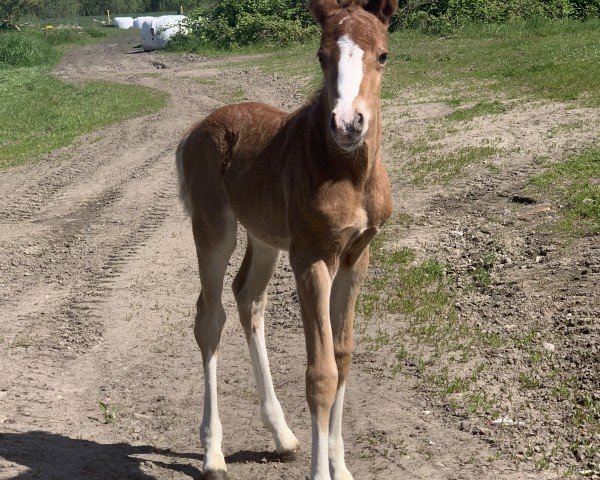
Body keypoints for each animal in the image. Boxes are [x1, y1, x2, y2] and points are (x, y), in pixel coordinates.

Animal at [176, 1, 396, 478]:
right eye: (321, 55)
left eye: (383, 55)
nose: (348, 124)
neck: (348, 173)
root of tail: (196, 129)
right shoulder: (311, 258)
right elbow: (321, 374)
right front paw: (322, 471)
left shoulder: (356, 257)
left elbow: (342, 357)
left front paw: (340, 466)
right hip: (214, 229)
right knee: (210, 318)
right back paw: (213, 453)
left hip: (265, 239)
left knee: (248, 298)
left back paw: (282, 435)